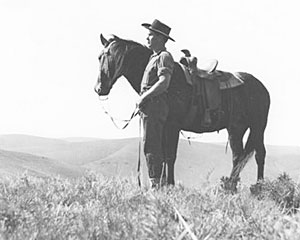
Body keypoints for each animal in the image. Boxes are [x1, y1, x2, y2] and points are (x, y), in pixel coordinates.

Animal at [95, 33, 270, 189]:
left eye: (112, 56)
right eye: (99, 57)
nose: (99, 88)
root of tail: (262, 87)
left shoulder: (172, 126)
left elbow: (170, 156)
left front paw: (170, 185)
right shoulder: (164, 126)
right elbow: (163, 156)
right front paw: (163, 185)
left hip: (256, 127)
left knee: (259, 154)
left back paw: (258, 188)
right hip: (237, 128)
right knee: (238, 157)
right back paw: (231, 188)